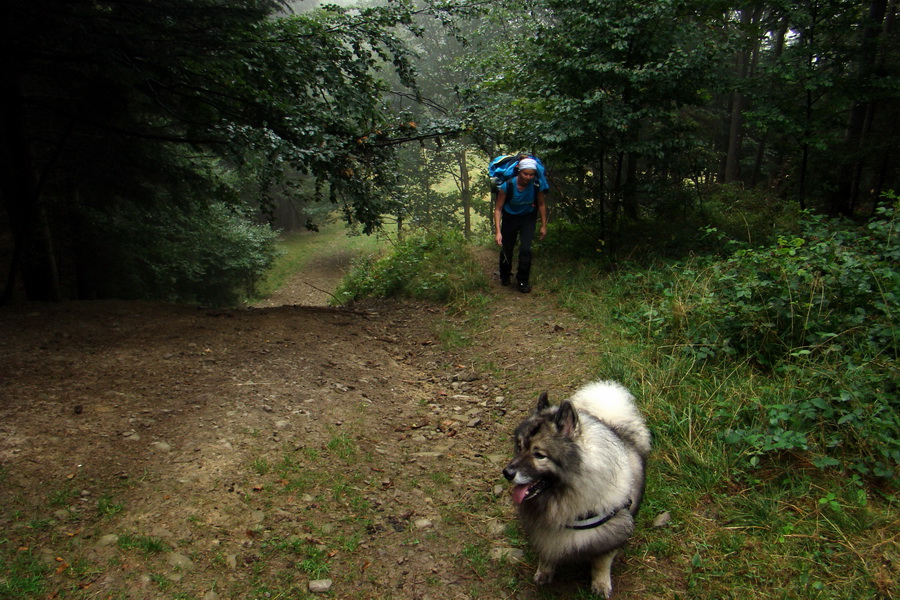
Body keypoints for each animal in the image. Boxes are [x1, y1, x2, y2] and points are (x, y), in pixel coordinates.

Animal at [502, 382, 652, 596]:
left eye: (539, 455)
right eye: (519, 447)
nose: (507, 473)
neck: (564, 494)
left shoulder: (612, 532)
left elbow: (601, 562)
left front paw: (601, 584)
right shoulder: (544, 530)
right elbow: (547, 553)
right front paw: (544, 572)